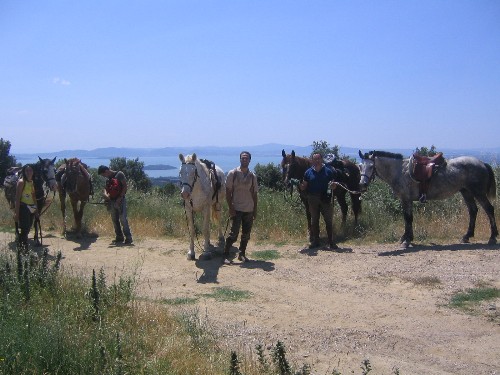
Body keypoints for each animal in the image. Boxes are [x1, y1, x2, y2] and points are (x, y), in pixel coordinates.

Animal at [360, 151, 496, 248]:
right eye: (360, 166)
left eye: (371, 166)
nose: (362, 184)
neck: (399, 170)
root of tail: (482, 163)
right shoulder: (405, 200)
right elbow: (407, 218)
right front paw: (406, 237)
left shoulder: (406, 199)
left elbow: (408, 218)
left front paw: (407, 240)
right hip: (466, 192)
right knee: (473, 211)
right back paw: (466, 236)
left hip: (478, 193)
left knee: (489, 209)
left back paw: (493, 238)